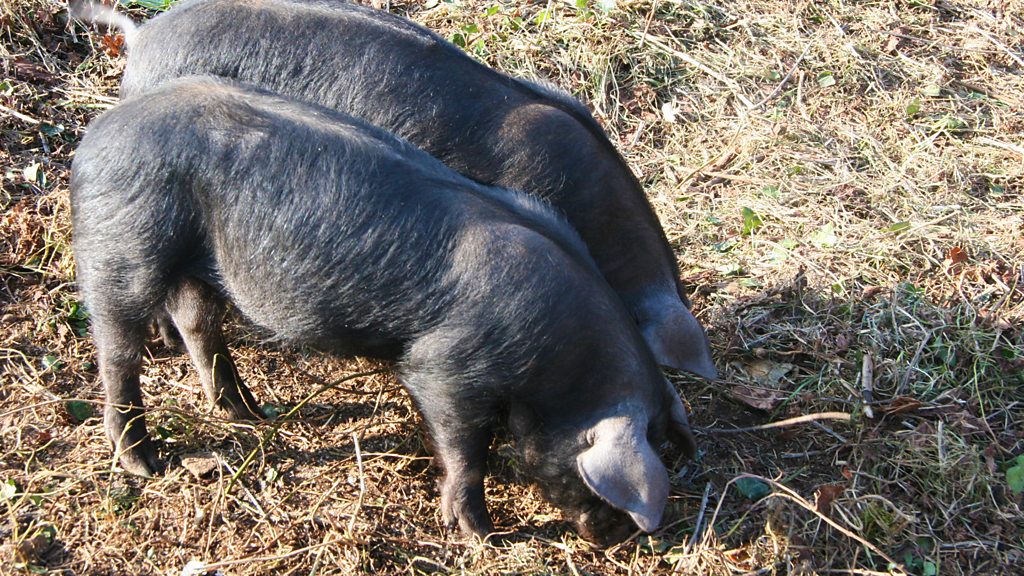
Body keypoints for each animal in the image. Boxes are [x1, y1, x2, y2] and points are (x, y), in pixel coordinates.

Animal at [71, 77, 699, 543]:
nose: (612, 539)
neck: (563, 359)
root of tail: (97, 133)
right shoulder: (445, 367)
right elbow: (463, 447)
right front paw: (479, 535)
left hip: (198, 263)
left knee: (198, 325)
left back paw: (247, 412)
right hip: (125, 243)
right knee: (117, 349)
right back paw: (145, 463)